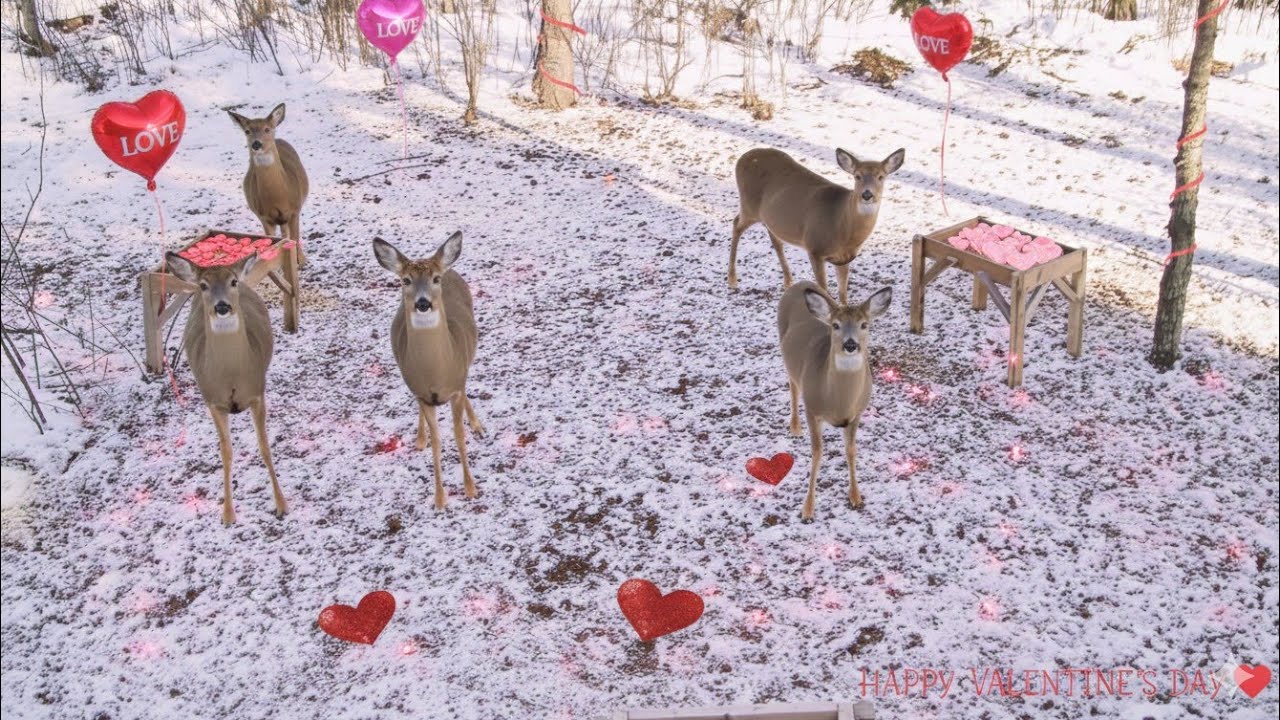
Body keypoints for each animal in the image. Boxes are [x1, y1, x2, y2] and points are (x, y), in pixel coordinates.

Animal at [164, 252, 287, 526]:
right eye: (203, 285)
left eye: (232, 282)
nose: (222, 306)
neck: (231, 375)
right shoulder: (213, 400)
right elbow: (226, 453)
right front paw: (228, 514)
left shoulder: (257, 391)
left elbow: (264, 447)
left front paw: (282, 505)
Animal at [227, 103, 310, 264]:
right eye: (247, 131)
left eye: (267, 129)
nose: (256, 144)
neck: (279, 196)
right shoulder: (263, 216)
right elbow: (272, 242)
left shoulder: (295, 210)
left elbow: (295, 238)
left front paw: (301, 260)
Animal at [373, 232, 485, 510]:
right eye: (406, 280)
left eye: (435, 279)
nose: (423, 303)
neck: (436, 372)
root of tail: (449, 267)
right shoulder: (424, 395)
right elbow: (437, 443)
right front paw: (440, 499)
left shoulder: (455, 388)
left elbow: (458, 435)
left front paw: (470, 489)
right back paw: (419, 438)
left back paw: (477, 424)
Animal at [729, 146, 904, 304]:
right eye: (857, 176)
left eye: (881, 176)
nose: (867, 194)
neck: (842, 226)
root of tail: (742, 158)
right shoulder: (815, 248)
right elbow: (824, 290)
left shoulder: (844, 258)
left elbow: (843, 293)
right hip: (749, 206)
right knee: (736, 224)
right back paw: (732, 279)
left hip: (770, 218)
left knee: (774, 238)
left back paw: (788, 281)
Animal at [777, 280, 892, 520]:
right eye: (836, 325)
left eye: (864, 324)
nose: (850, 345)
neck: (839, 402)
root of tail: (799, 283)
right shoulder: (812, 409)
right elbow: (817, 452)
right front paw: (808, 508)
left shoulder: (857, 414)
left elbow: (851, 450)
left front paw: (856, 497)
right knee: (793, 386)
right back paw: (795, 427)